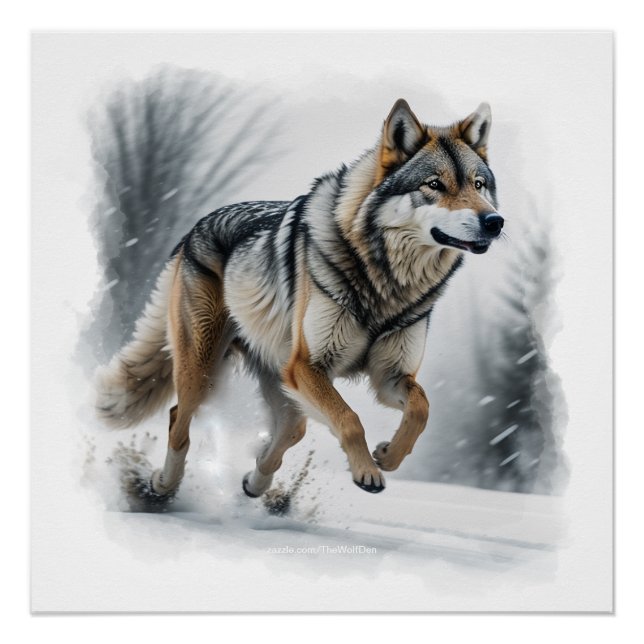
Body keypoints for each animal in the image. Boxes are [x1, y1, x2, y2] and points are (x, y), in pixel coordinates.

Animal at [96, 99, 503, 506]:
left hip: (280, 378)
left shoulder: (389, 375)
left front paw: (389, 455)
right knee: (179, 419)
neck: (386, 284)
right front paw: (367, 472)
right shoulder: (308, 365)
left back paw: (256, 483)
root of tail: (193, 230)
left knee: (292, 428)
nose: (495, 221)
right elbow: (351, 420)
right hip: (204, 369)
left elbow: (421, 408)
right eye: (434, 185)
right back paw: (162, 486)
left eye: (478, 185)